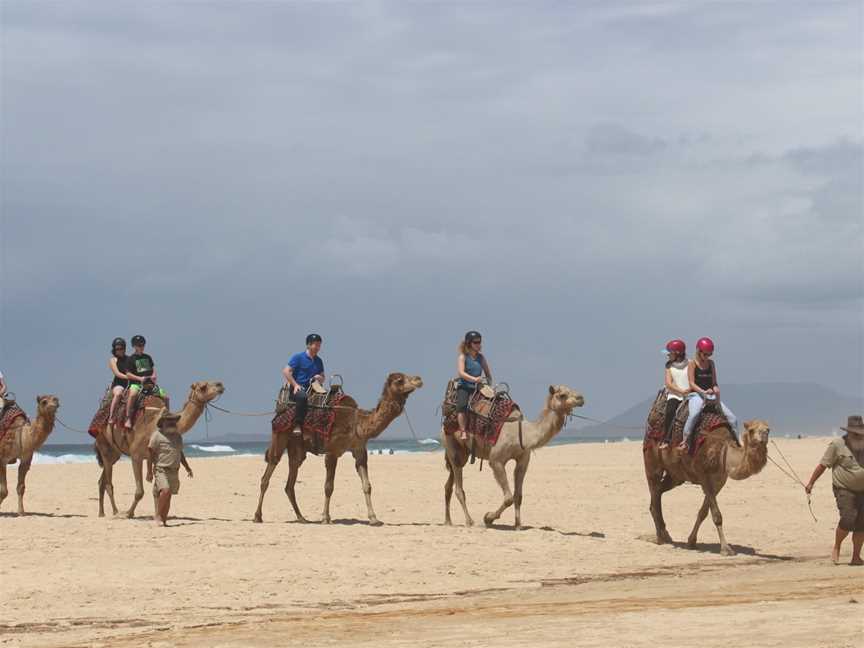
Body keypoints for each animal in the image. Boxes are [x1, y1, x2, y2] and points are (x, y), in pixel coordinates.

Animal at [93, 382, 226, 520]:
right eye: (203, 386)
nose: (220, 385)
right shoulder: (136, 455)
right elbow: (140, 492)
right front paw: (129, 513)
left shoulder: (154, 457)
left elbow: (156, 491)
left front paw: (157, 515)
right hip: (104, 445)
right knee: (108, 483)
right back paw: (116, 512)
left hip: (115, 454)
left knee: (102, 480)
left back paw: (101, 513)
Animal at [251, 372, 424, 524]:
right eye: (400, 380)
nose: (419, 379)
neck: (356, 423)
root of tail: (280, 408)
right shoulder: (332, 451)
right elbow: (329, 487)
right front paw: (325, 518)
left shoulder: (360, 450)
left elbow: (367, 485)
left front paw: (374, 519)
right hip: (280, 435)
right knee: (267, 474)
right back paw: (258, 516)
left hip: (297, 448)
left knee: (290, 483)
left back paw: (302, 518)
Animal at [442, 382, 584, 528]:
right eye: (562, 395)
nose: (581, 398)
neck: (522, 433)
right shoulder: (496, 461)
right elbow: (508, 498)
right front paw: (488, 518)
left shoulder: (523, 460)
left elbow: (518, 496)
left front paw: (518, 525)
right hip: (452, 445)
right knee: (459, 488)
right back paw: (469, 521)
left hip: (461, 453)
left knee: (448, 486)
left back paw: (448, 521)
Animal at [640, 398, 768, 556]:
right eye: (751, 430)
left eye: (768, 429)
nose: (764, 435)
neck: (723, 452)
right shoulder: (704, 476)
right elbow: (717, 515)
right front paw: (726, 549)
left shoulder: (719, 481)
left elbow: (703, 512)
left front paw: (691, 542)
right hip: (652, 460)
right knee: (654, 490)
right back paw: (660, 538)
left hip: (676, 476)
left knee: (658, 492)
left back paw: (665, 534)